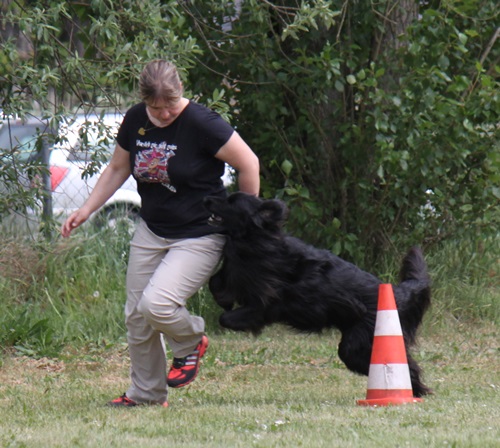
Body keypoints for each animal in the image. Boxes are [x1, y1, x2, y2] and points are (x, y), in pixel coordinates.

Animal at [204, 192, 432, 397]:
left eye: (231, 201)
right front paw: (223, 297)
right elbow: (215, 281)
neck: (256, 239)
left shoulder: (268, 303)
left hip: (361, 341)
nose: (208, 199)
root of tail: (397, 292)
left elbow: (228, 316)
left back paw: (413, 391)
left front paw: (231, 316)